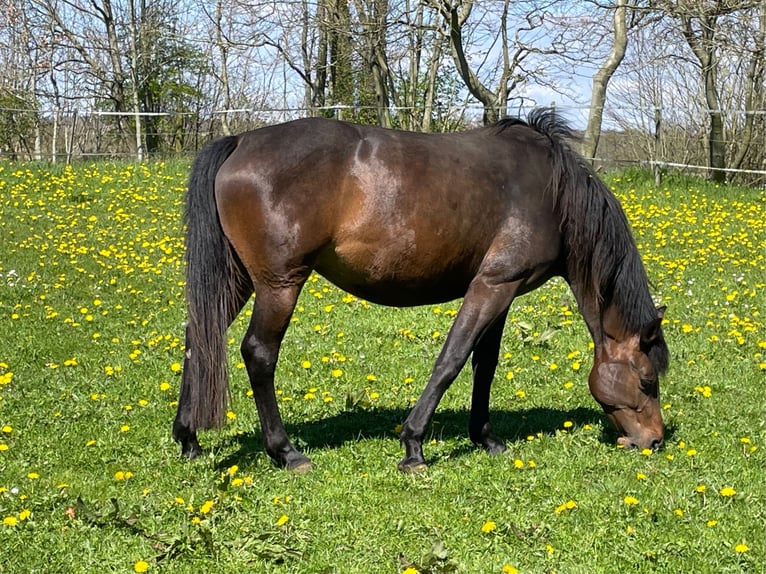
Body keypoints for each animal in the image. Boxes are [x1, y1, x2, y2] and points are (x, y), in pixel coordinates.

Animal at [171, 108, 668, 472]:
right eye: (647, 380)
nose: (655, 440)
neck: (552, 192)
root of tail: (240, 141)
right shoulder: (492, 286)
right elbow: (451, 361)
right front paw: (413, 447)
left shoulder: (503, 291)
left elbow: (484, 365)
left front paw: (486, 437)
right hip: (279, 285)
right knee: (258, 353)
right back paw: (286, 452)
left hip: (237, 280)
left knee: (199, 337)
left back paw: (189, 440)